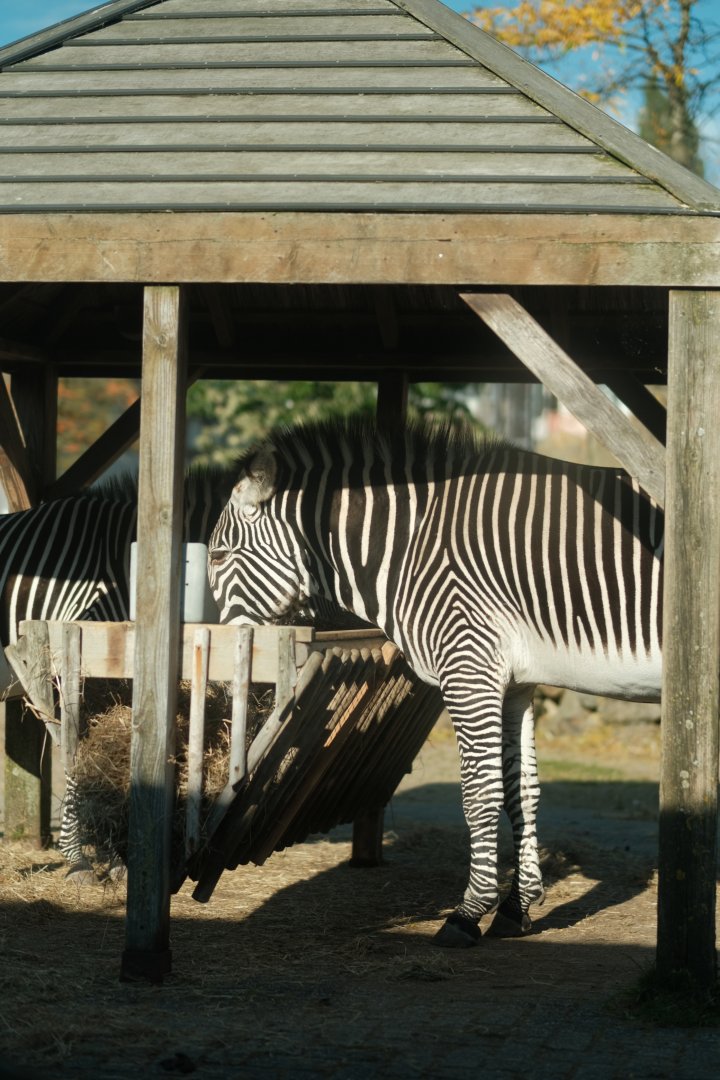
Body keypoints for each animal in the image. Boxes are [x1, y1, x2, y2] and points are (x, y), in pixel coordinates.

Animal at [207, 417, 663, 947]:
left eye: (217, 556)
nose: (226, 685)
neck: (409, 548)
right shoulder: (515, 683)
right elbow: (521, 791)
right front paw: (517, 907)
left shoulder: (469, 666)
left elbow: (480, 793)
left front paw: (467, 913)